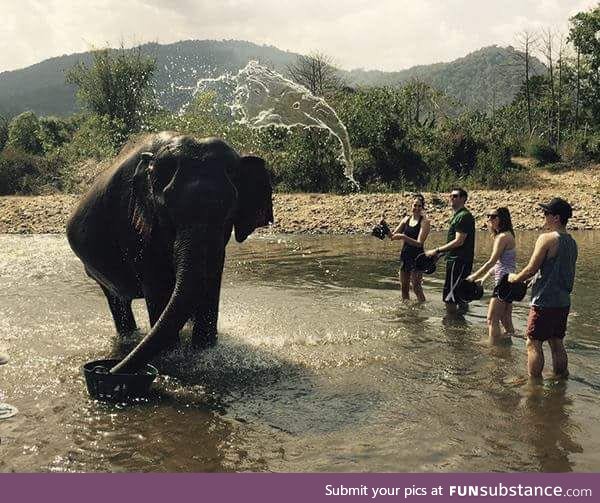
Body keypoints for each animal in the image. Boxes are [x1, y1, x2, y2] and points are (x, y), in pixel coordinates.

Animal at [66, 132, 272, 376]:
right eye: (167, 211)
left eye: (229, 211)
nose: (104, 371)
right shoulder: (134, 226)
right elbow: (158, 284)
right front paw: (172, 355)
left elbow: (209, 282)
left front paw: (204, 352)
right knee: (117, 301)